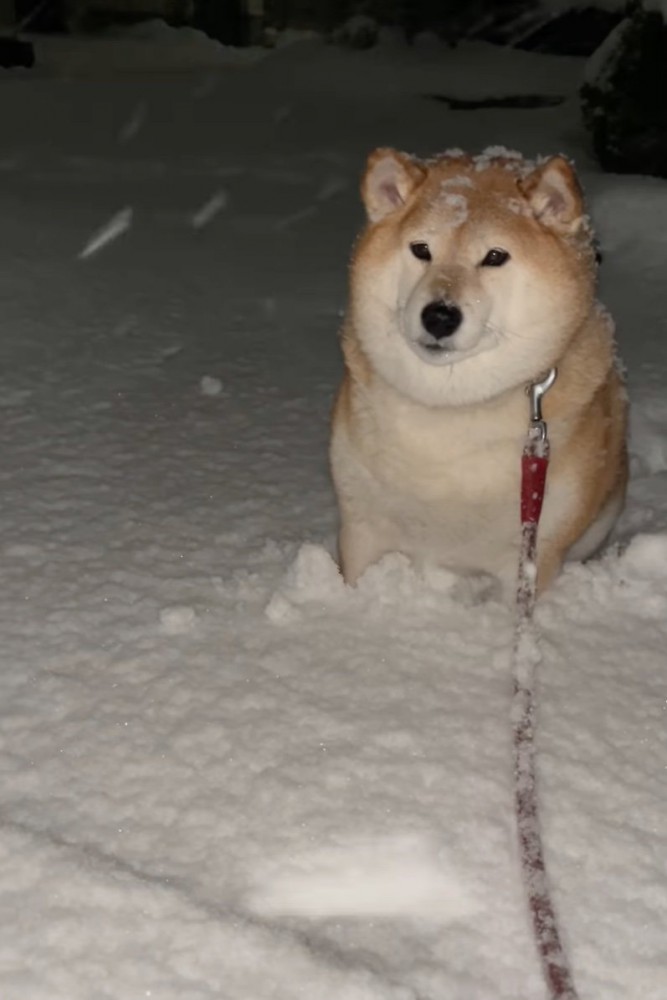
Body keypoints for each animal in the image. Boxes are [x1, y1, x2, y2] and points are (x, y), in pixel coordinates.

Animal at [332, 147, 628, 596]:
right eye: (421, 249)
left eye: (494, 257)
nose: (439, 315)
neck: (452, 409)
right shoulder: (362, 529)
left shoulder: (532, 553)